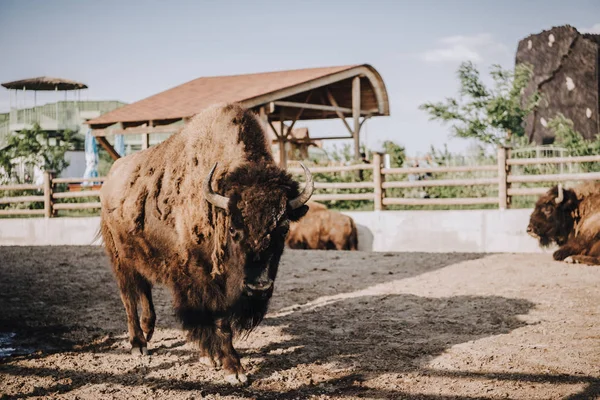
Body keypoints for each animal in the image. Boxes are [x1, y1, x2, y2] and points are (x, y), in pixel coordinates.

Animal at [98, 103, 314, 384]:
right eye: (233, 228)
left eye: (283, 228)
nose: (258, 287)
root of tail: (110, 179)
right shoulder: (203, 279)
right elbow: (218, 319)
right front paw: (233, 368)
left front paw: (209, 357)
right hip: (119, 259)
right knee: (128, 298)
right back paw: (138, 345)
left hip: (141, 256)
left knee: (143, 289)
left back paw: (148, 330)